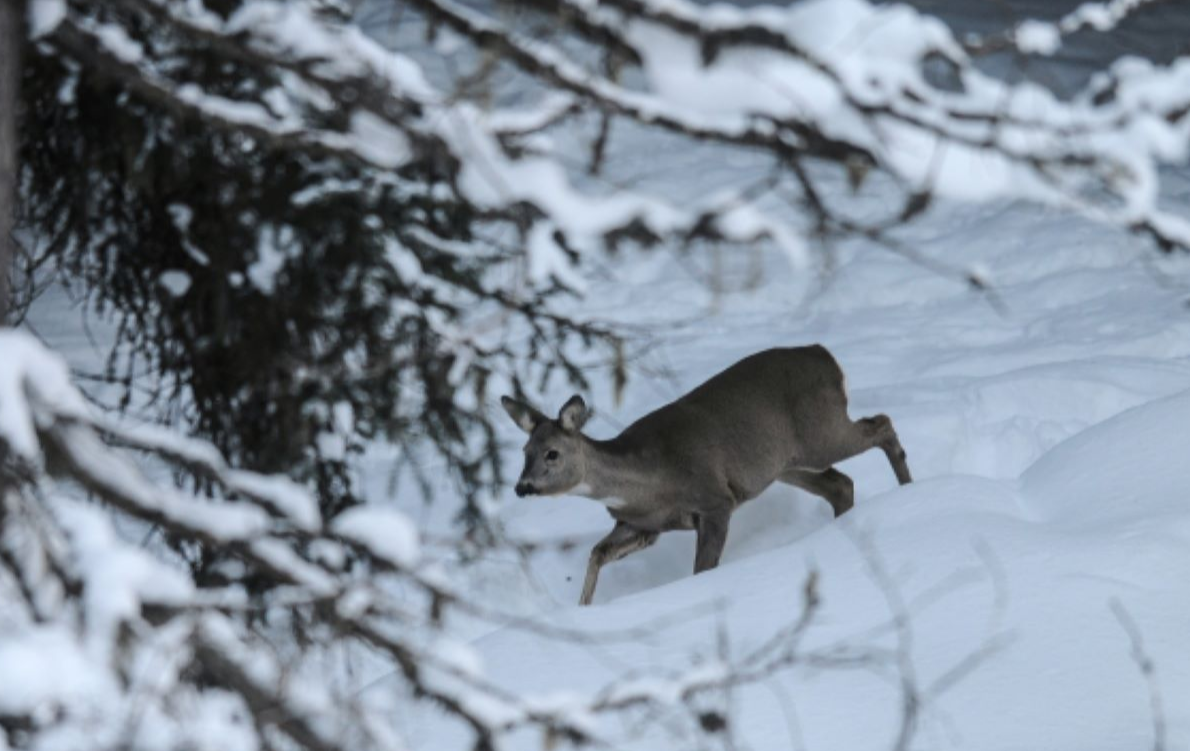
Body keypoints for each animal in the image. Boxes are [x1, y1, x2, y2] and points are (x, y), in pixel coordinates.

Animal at [502, 347, 909, 604]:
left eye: (552, 453)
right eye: (524, 452)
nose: (522, 487)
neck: (651, 482)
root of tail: (825, 355)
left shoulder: (715, 501)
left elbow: (701, 571)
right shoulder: (642, 526)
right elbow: (597, 554)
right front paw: (583, 608)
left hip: (820, 433)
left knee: (882, 424)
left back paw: (909, 490)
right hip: (787, 465)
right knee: (841, 484)